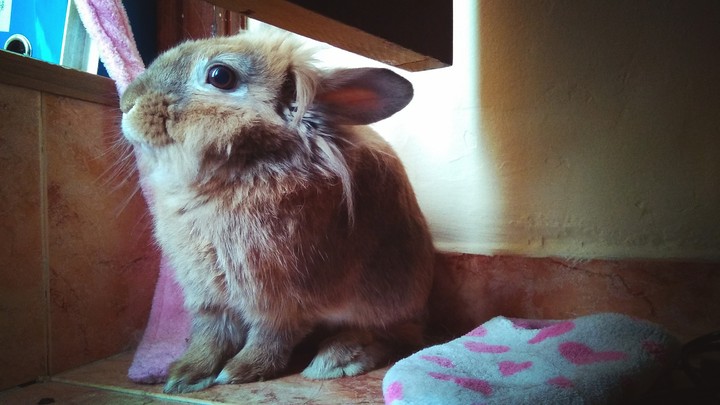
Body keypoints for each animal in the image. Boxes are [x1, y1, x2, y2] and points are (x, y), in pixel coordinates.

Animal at [120, 29, 434, 394]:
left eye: (220, 76)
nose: (127, 103)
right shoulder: (211, 296)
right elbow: (210, 336)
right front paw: (185, 375)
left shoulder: (280, 299)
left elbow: (269, 337)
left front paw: (239, 371)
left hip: (383, 301)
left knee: (394, 335)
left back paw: (336, 359)